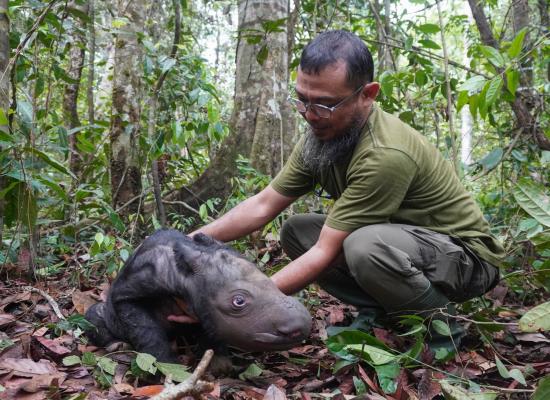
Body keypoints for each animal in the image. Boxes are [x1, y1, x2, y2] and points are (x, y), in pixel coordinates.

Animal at [84, 228, 312, 362]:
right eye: (238, 301)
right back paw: (116, 345)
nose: (301, 327)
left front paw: (219, 365)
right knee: (94, 315)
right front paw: (167, 365)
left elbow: (211, 330)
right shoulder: (131, 290)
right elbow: (144, 328)